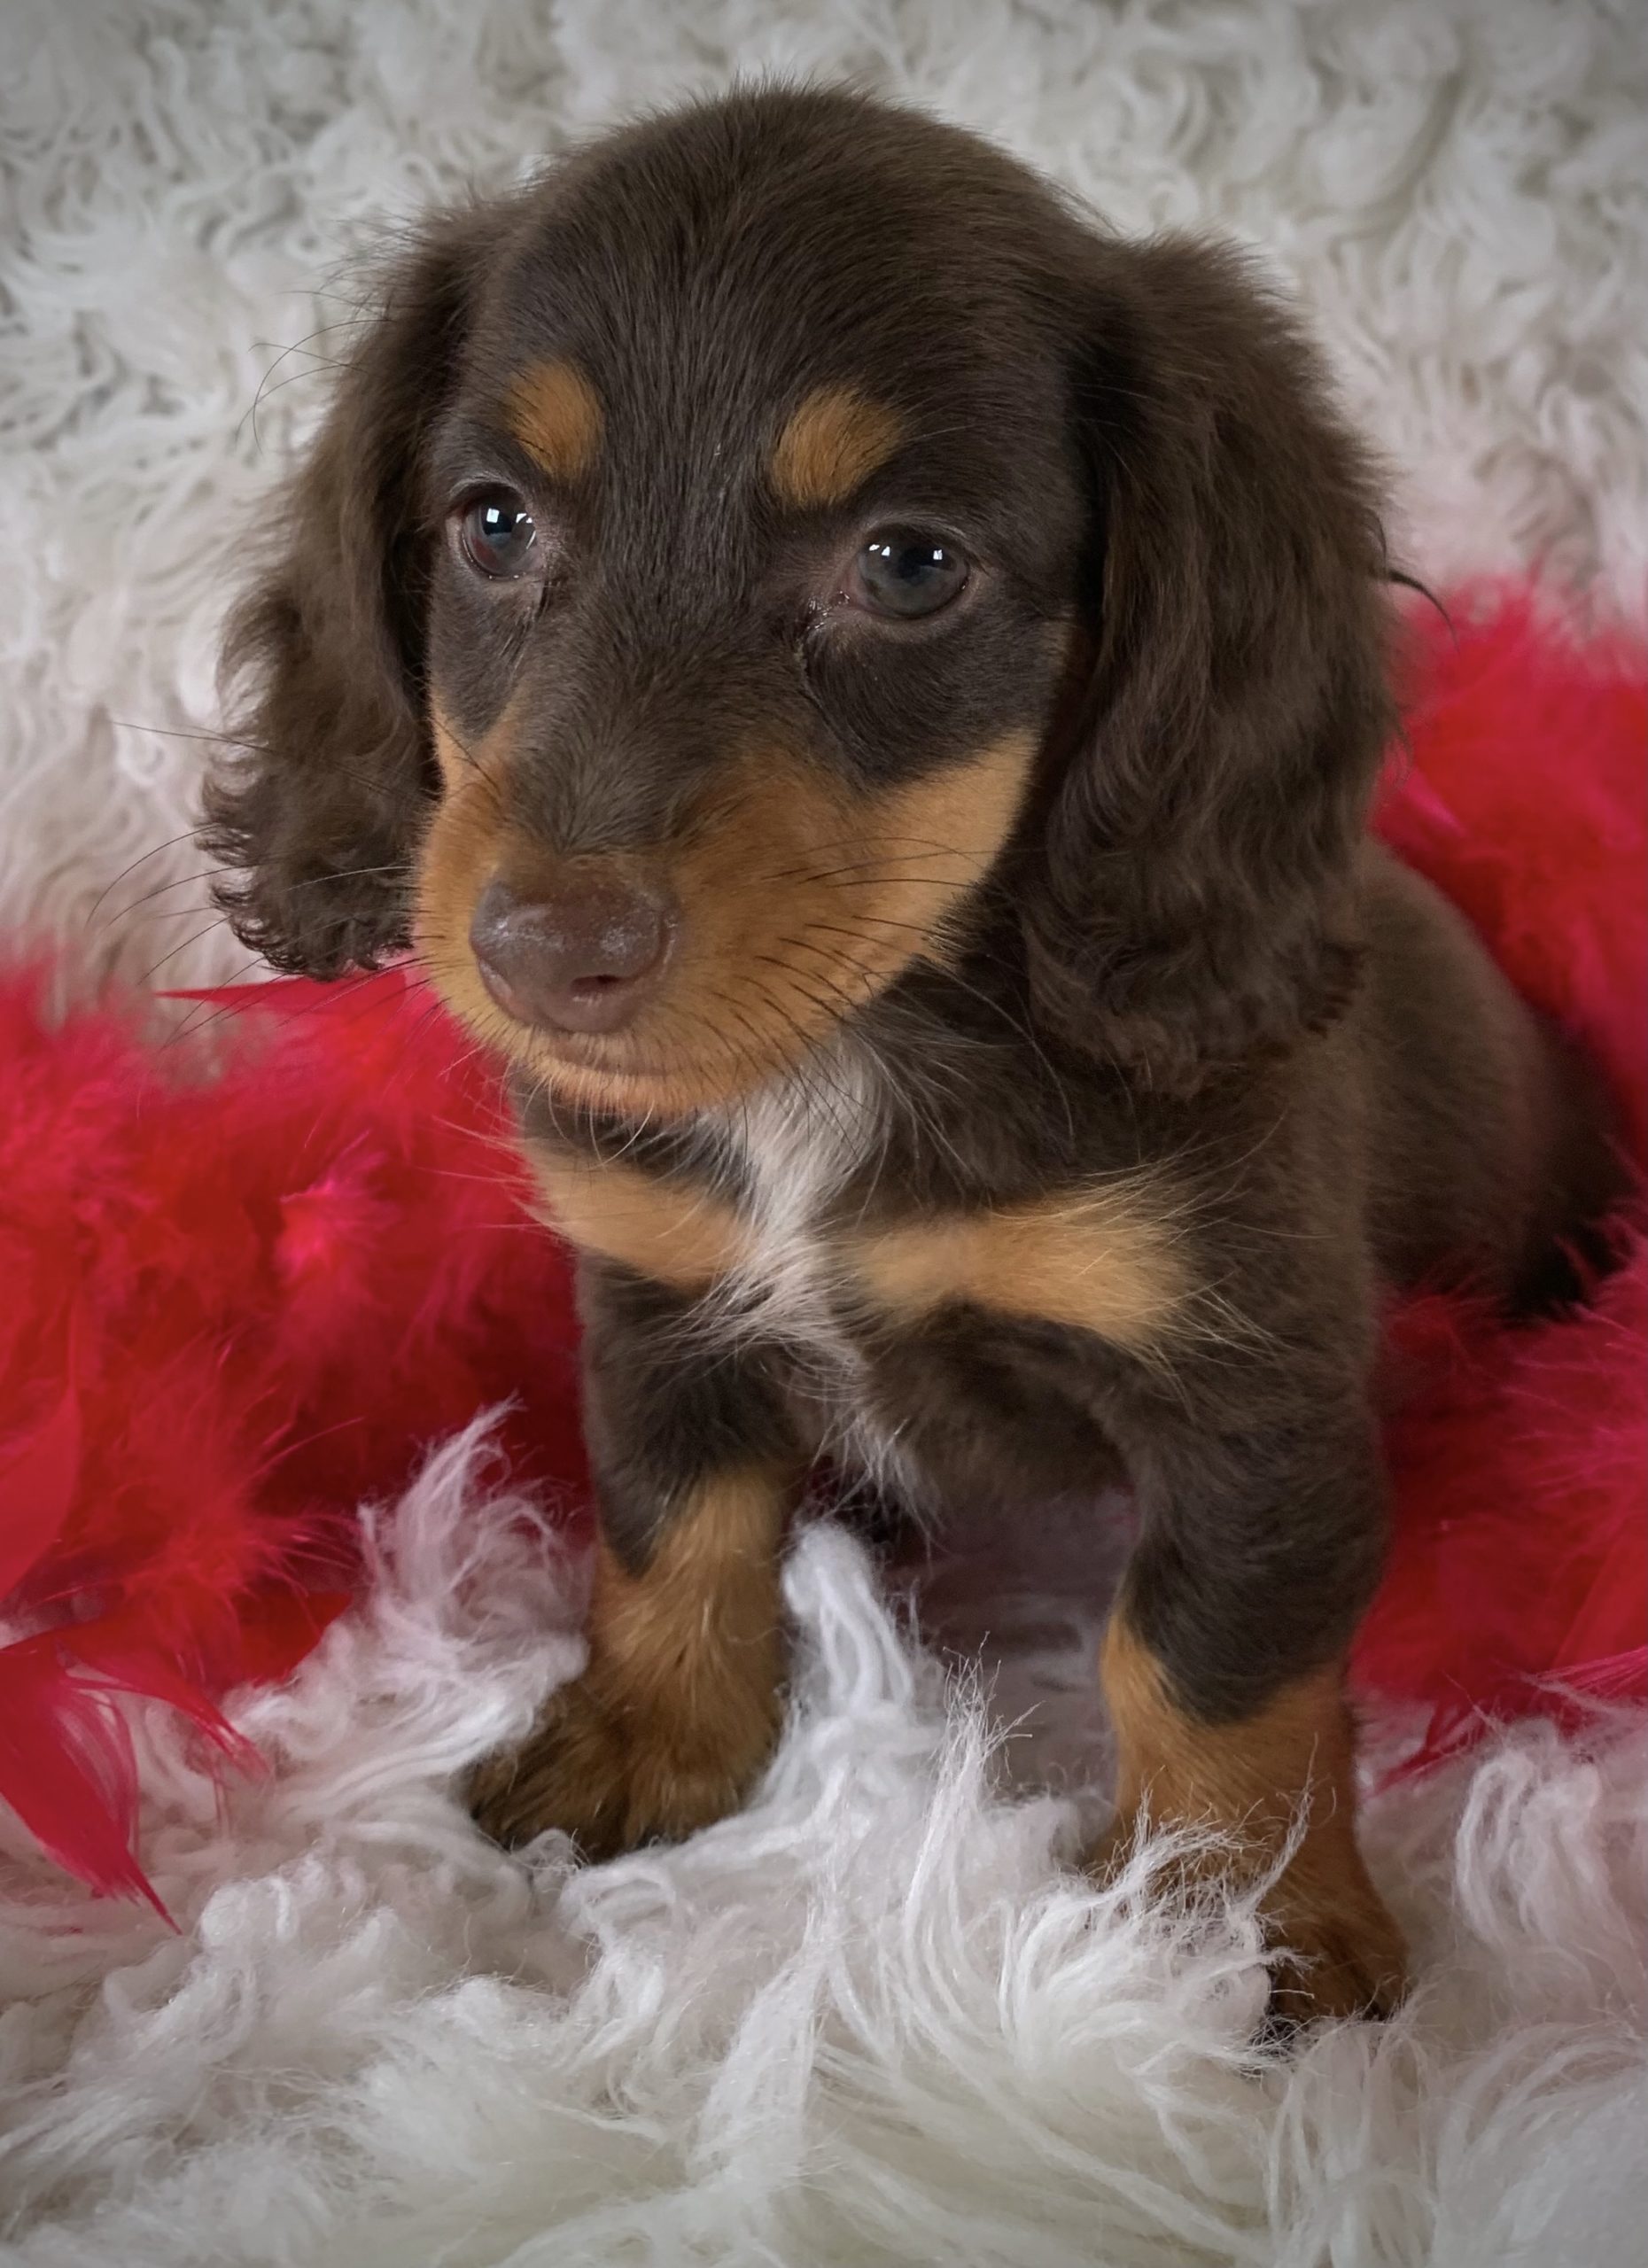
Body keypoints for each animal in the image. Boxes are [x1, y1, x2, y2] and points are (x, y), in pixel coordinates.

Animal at [199, 83, 1613, 2023]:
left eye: (911, 563)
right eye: (490, 522)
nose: (544, 954)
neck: (848, 1042)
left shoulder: (1256, 1392)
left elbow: (1207, 1661)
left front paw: (1232, 1916)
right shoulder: (659, 1294)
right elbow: (675, 1524)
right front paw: (646, 1732)